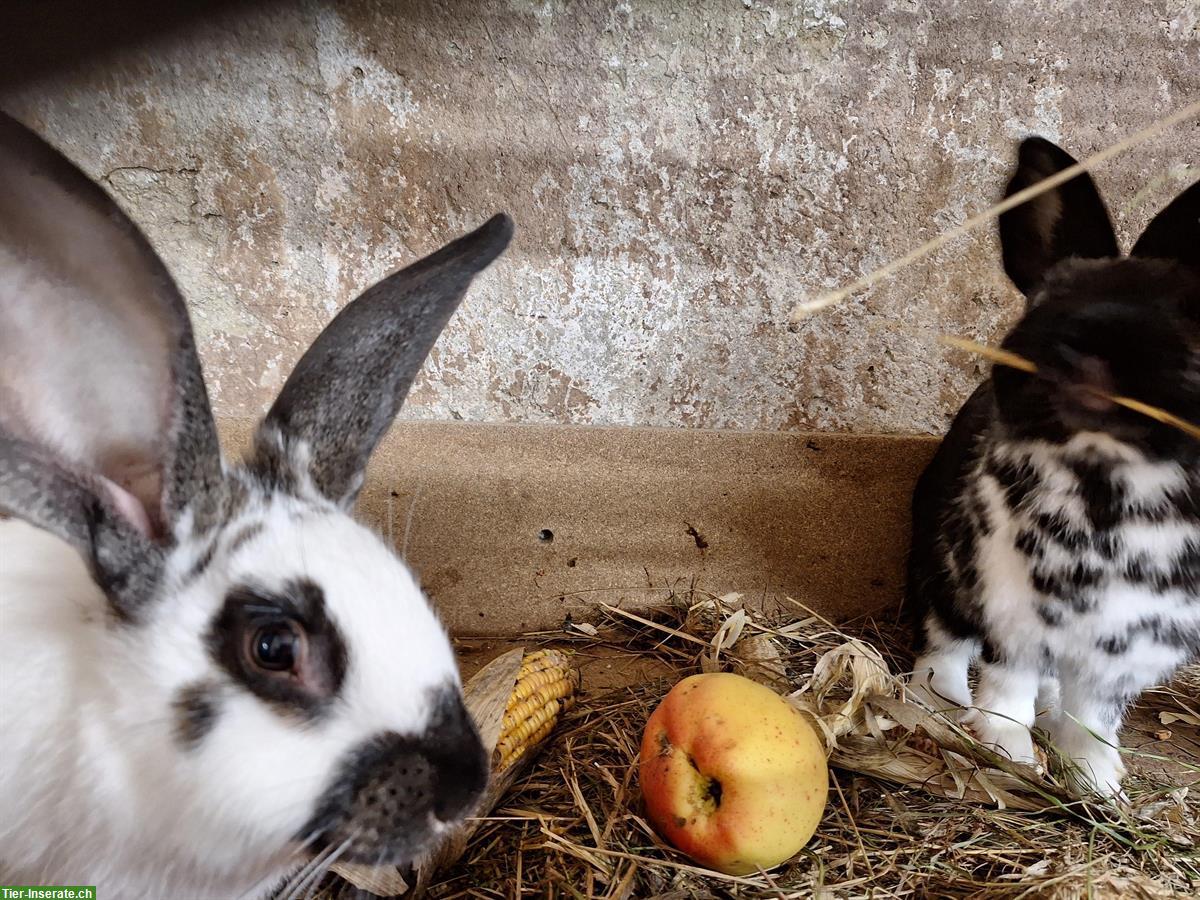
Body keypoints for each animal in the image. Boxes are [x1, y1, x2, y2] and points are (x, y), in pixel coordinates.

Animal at [907, 135, 1200, 796]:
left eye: (1177, 318)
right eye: (1045, 301)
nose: (1088, 353)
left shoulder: (1128, 647)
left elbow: (1096, 712)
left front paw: (1097, 780)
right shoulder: (1009, 603)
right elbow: (1006, 680)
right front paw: (1007, 748)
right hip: (942, 558)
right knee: (945, 634)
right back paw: (937, 699)